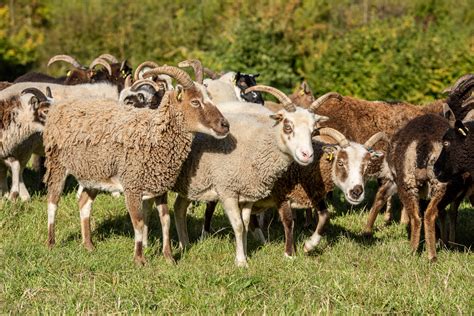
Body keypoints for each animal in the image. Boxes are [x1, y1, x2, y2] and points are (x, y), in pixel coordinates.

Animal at [43, 65, 230, 266]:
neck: (152, 134)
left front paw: (169, 257)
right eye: (195, 102)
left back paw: (88, 245)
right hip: (57, 163)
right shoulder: (132, 185)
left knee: (84, 202)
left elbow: (165, 219)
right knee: (53, 201)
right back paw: (51, 242)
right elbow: (139, 222)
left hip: (93, 173)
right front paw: (140, 259)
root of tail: (61, 106)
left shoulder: (159, 186)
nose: (224, 125)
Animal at [170, 84, 334, 266]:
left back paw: (184, 245)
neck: (257, 142)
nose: (307, 155)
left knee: (179, 207)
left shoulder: (248, 193)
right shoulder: (228, 190)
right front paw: (241, 262)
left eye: (313, 132)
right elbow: (239, 225)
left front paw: (245, 254)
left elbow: (246, 223)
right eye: (288, 126)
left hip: (191, 184)